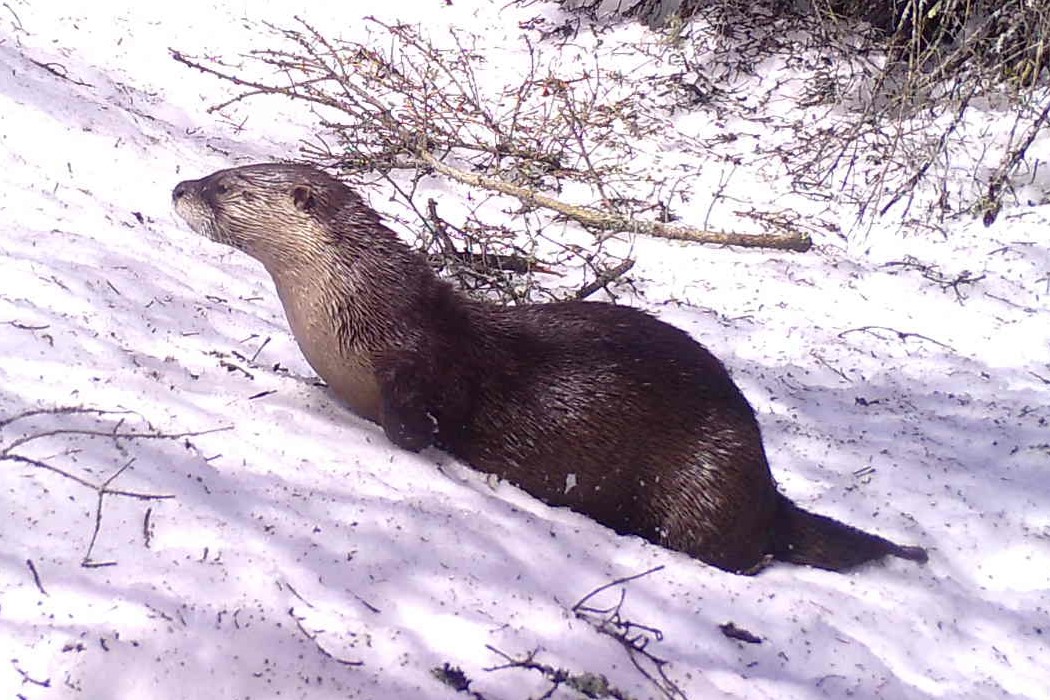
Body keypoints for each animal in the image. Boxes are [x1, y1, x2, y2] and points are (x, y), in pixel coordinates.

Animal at [171, 163, 928, 574]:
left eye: (225, 185)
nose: (180, 185)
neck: (355, 306)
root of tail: (767, 486)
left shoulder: (420, 362)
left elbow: (422, 421)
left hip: (705, 480)